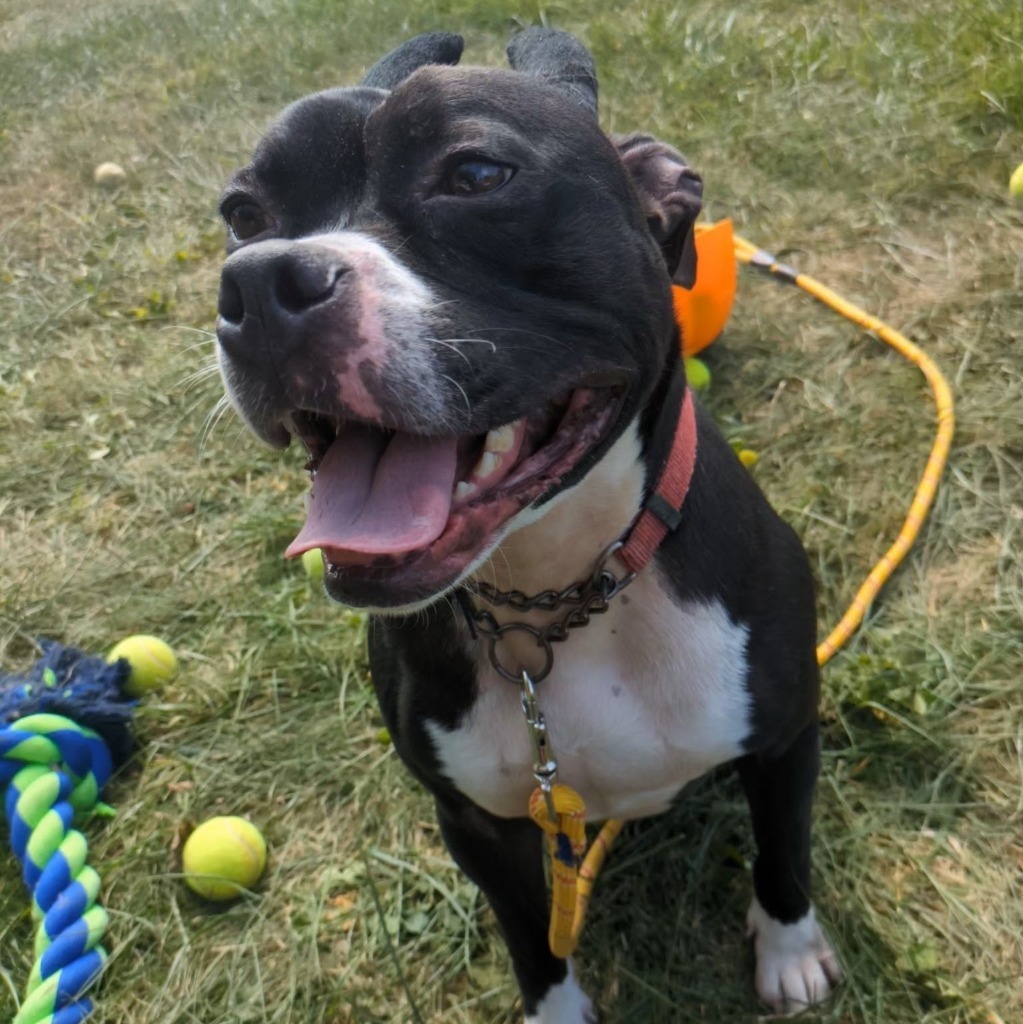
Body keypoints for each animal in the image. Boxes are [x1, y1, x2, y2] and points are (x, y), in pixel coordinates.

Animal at [214, 28, 839, 1019]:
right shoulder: (476, 823)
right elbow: (530, 936)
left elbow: (783, 852)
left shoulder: (783, 739)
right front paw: (556, 1008)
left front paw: (788, 952)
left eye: (475, 174)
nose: (259, 281)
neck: (558, 593)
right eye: (241, 212)